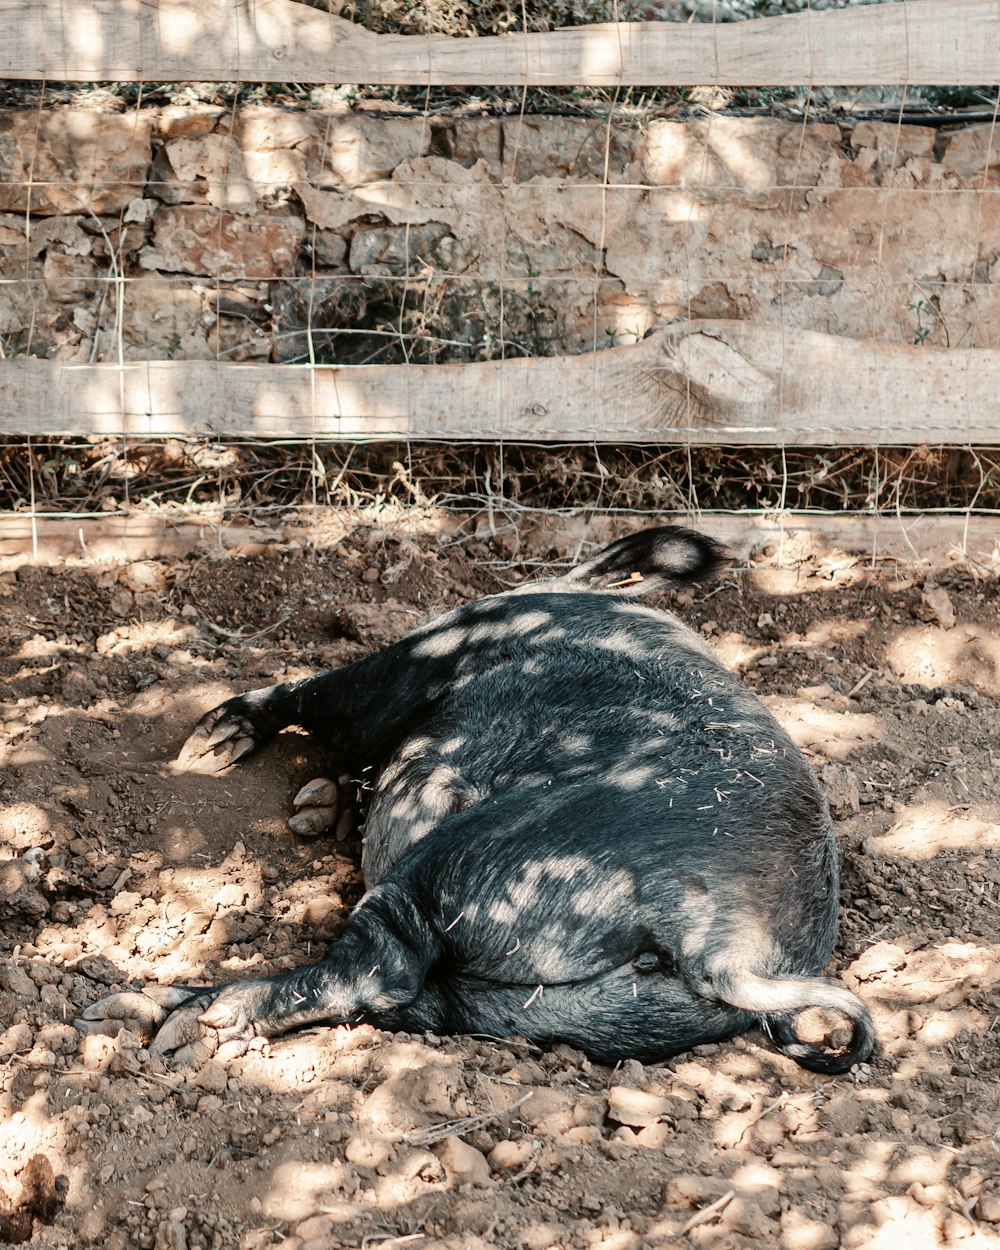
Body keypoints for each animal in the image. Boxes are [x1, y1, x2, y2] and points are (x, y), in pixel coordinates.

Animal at [80, 527, 875, 1075]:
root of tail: (727, 948)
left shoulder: (408, 669)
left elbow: (317, 696)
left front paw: (208, 750)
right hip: (561, 1011)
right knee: (413, 996)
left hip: (479, 857)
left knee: (377, 965)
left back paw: (165, 1019)